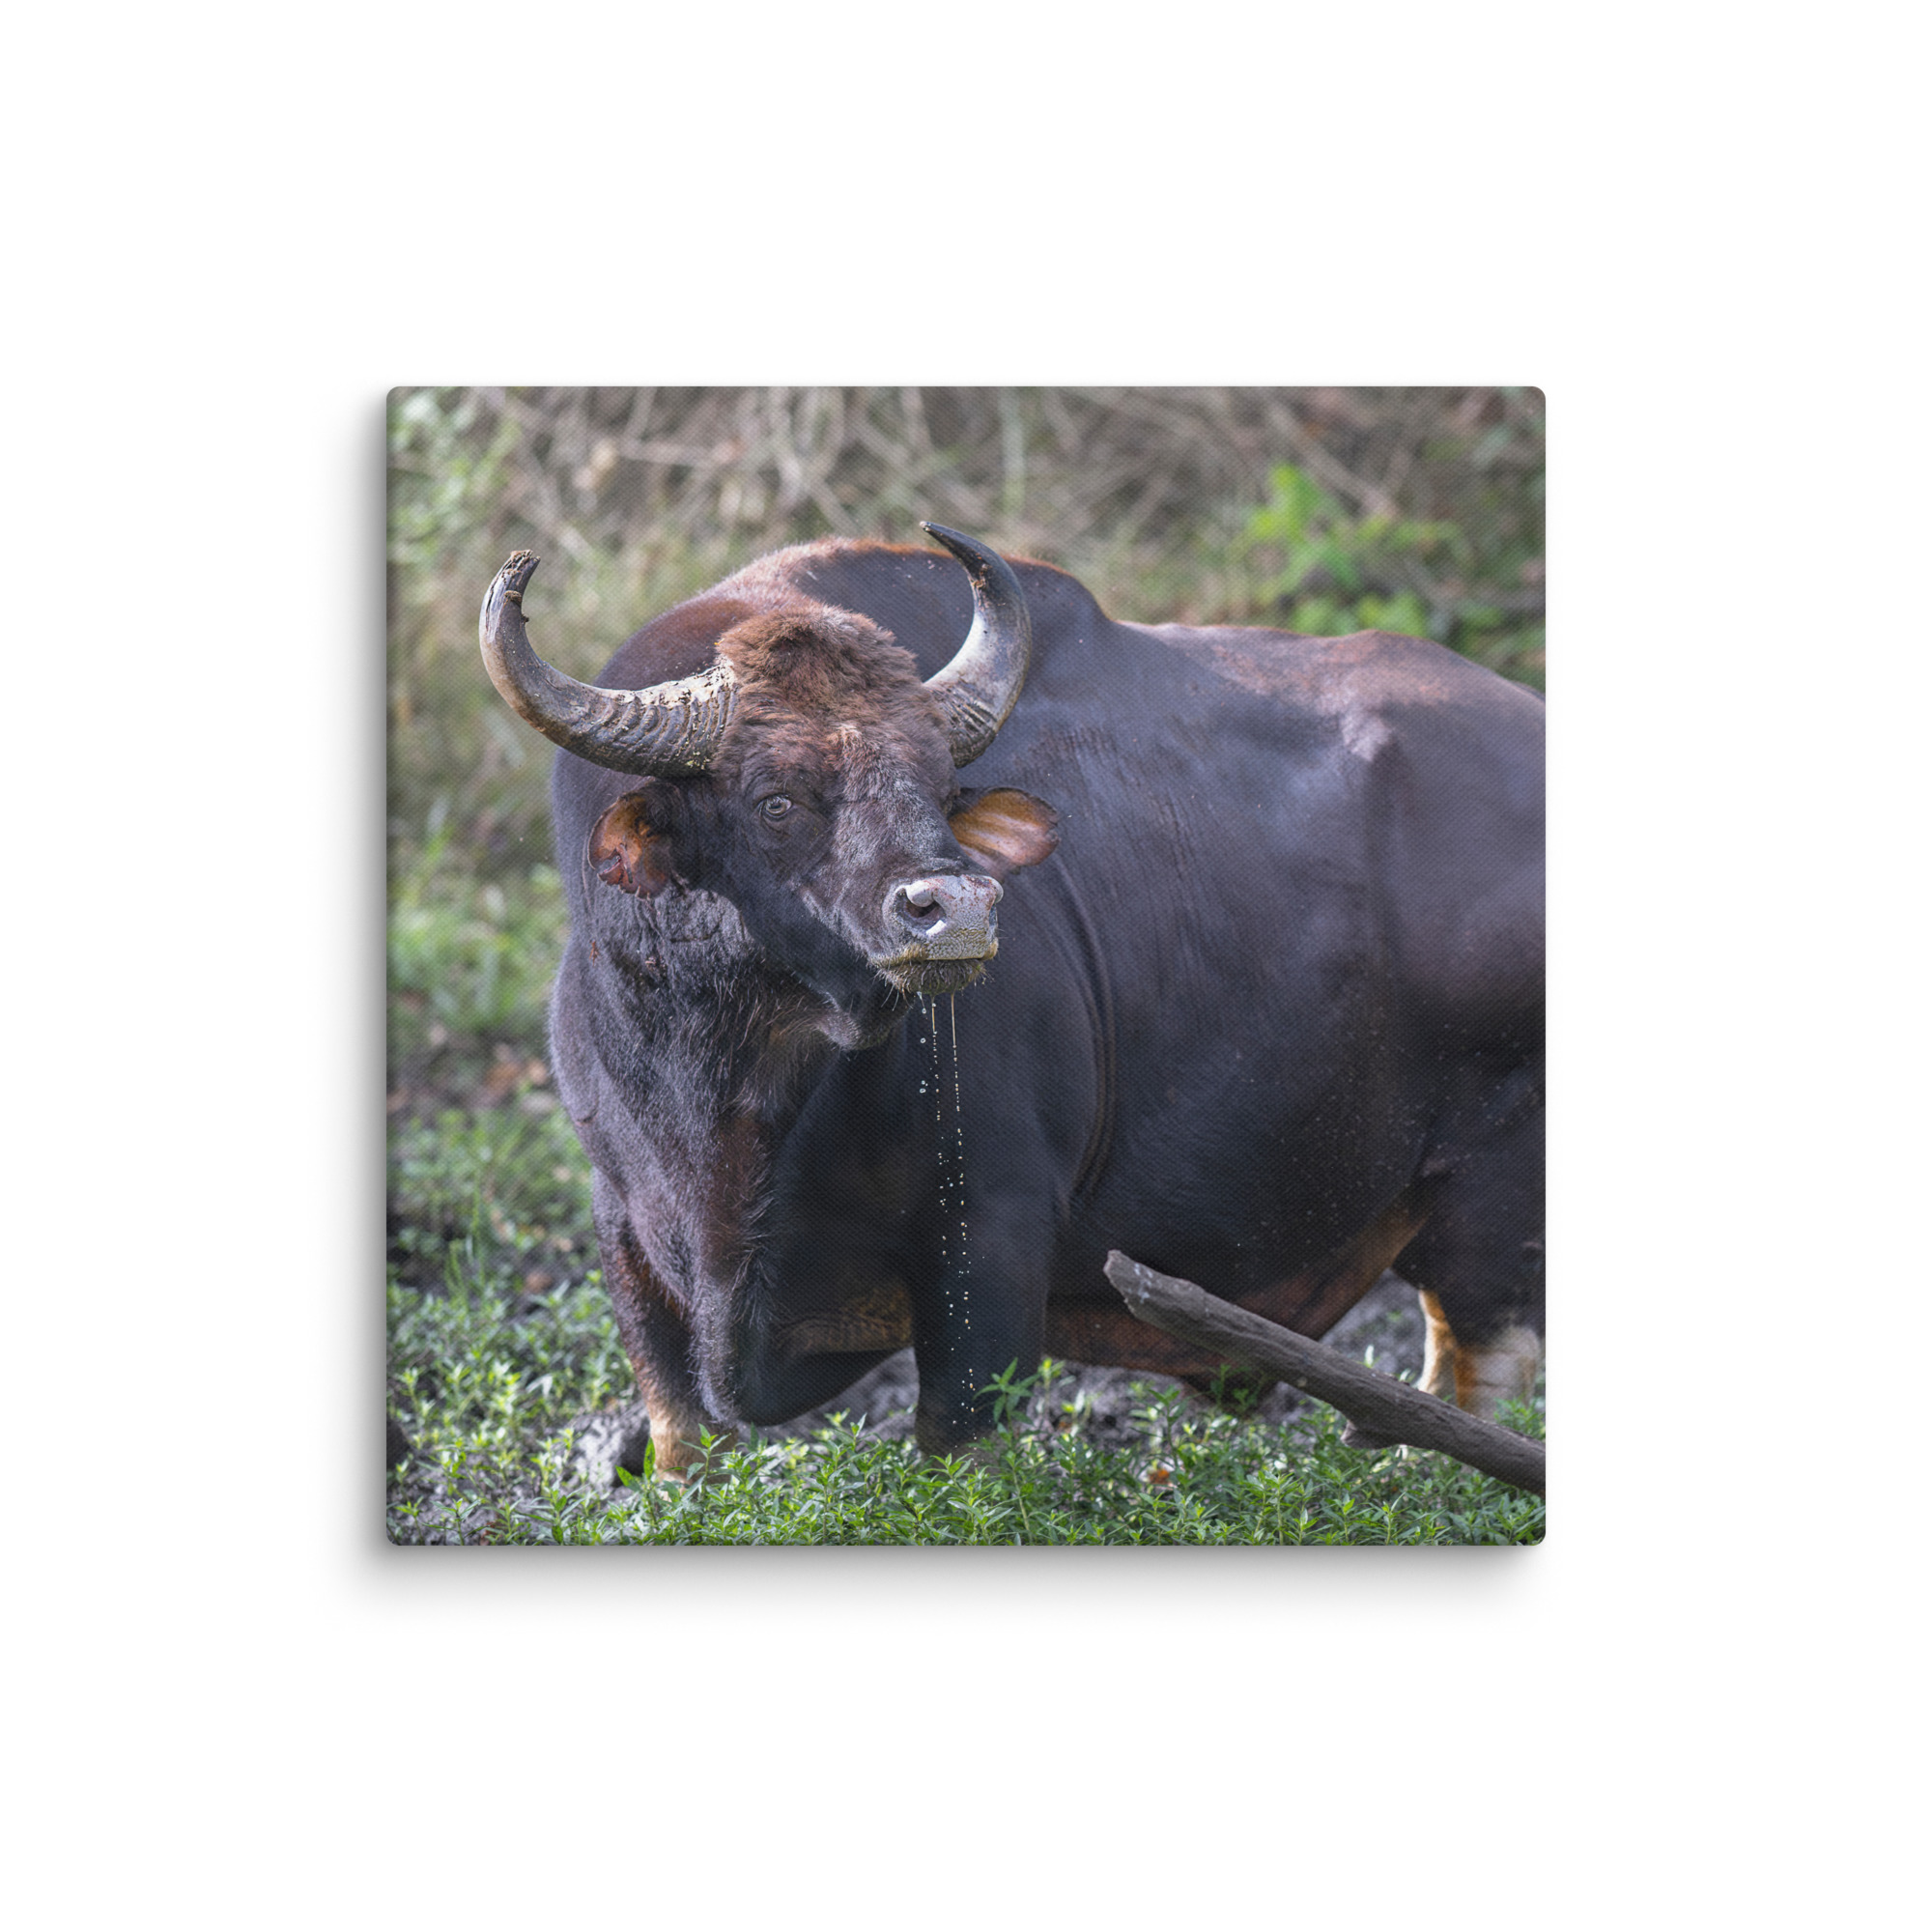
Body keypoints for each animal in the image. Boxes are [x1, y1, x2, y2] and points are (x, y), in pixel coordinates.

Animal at [479, 525, 1543, 1475]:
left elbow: (961, 1443)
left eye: (935, 782)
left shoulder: (990, 1236)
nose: (950, 909)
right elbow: (679, 1436)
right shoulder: (622, 1228)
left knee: (1482, 1365)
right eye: (775, 799)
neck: (736, 1095)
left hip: (1494, 1192)